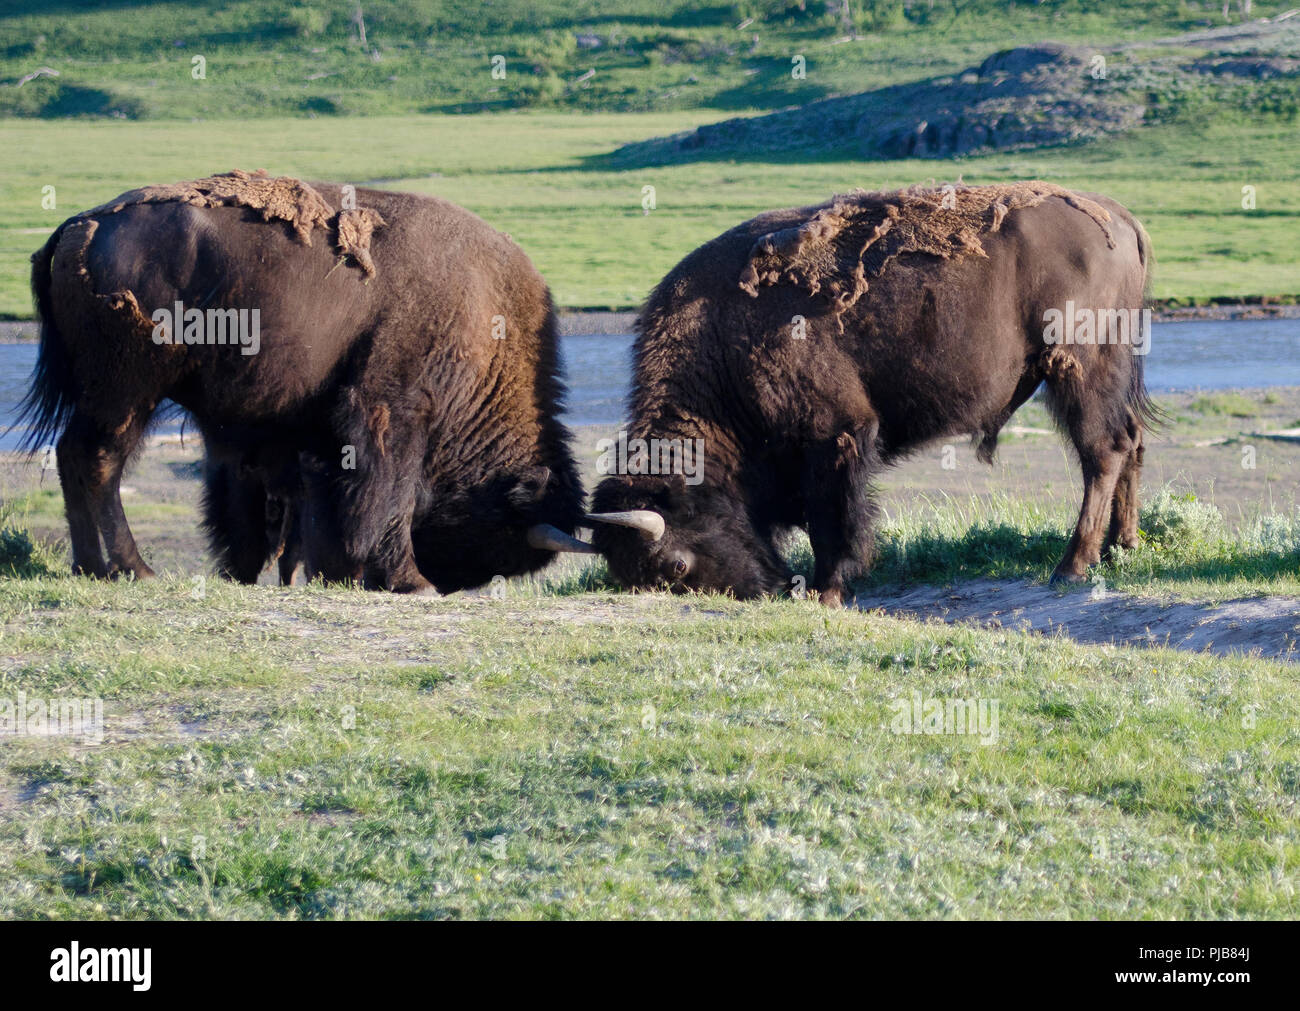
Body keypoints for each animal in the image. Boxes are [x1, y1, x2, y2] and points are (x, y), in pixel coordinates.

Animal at [19, 170, 593, 593]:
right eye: (494, 538)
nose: (451, 582)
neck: (486, 318)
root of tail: (79, 225)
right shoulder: (392, 413)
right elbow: (390, 495)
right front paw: (410, 581)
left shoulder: (296, 437)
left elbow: (290, 514)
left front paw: (289, 576)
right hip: (127, 391)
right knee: (98, 461)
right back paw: (133, 569)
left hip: (111, 395)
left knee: (72, 456)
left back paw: (89, 567)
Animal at [591, 182, 1156, 606]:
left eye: (674, 566)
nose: (763, 590)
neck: (720, 338)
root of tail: (1122, 219)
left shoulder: (835, 435)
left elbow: (834, 518)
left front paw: (828, 590)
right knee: (1131, 440)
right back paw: (1120, 548)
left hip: (1077, 369)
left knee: (1103, 451)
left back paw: (1072, 567)